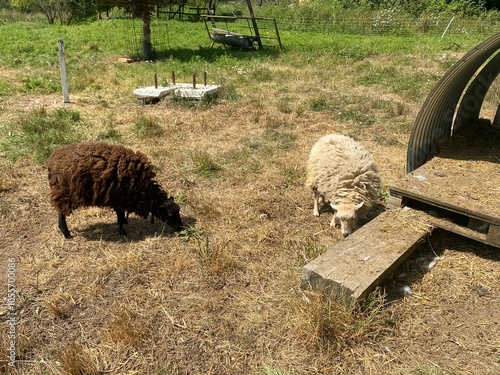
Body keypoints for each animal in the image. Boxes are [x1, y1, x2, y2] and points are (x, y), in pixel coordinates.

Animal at [47, 142, 182, 239]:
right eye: (170, 214)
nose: (181, 228)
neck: (145, 192)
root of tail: (51, 163)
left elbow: (121, 213)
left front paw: (125, 223)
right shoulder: (119, 196)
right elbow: (120, 214)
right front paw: (123, 232)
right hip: (63, 192)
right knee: (61, 213)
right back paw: (66, 233)